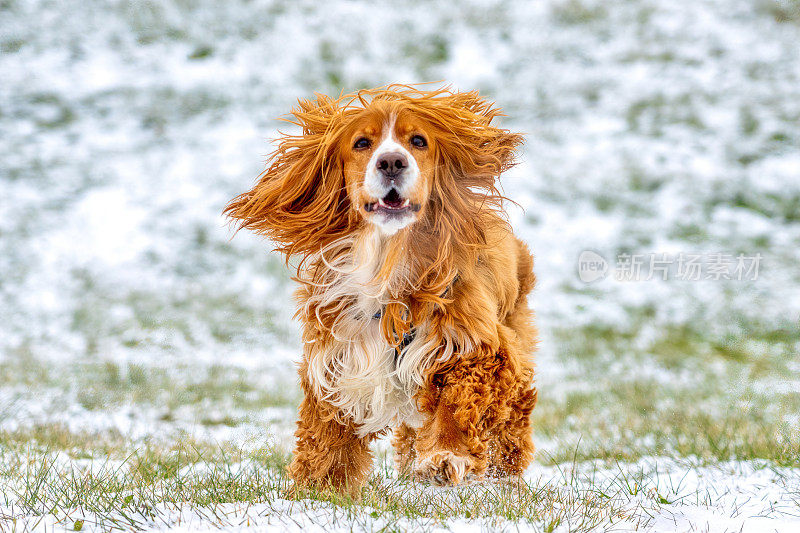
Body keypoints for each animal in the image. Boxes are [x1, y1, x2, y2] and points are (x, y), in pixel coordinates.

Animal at [225, 83, 536, 494]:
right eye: (361, 143)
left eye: (418, 141)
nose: (391, 162)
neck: (388, 260)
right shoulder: (337, 361)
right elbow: (325, 438)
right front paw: (316, 491)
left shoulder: (476, 346)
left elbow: (457, 403)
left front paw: (445, 456)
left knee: (514, 417)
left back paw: (504, 475)